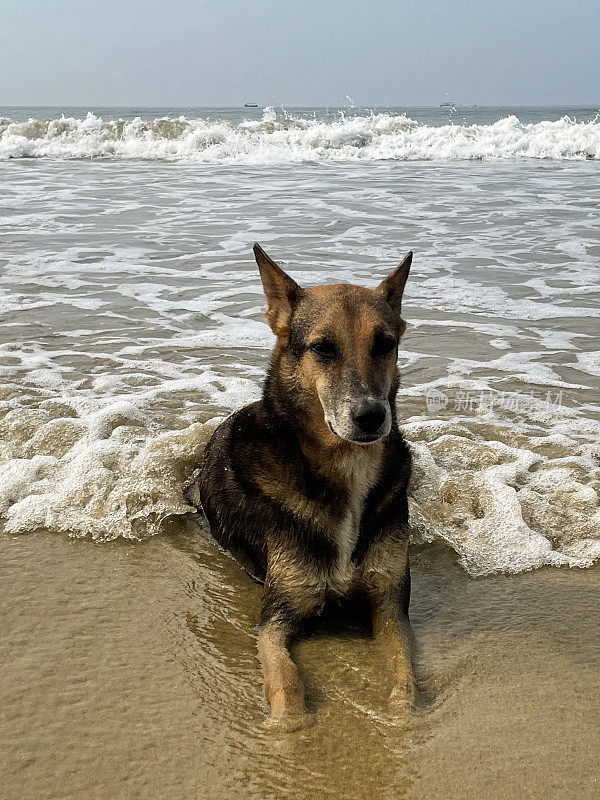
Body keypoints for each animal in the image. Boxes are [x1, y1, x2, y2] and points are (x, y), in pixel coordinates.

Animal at [195, 245, 414, 732]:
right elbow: (286, 680)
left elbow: (404, 668)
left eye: (385, 344)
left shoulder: (390, 603)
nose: (371, 416)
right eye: (322, 348)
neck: (344, 464)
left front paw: (402, 714)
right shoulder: (276, 618)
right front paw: (288, 727)